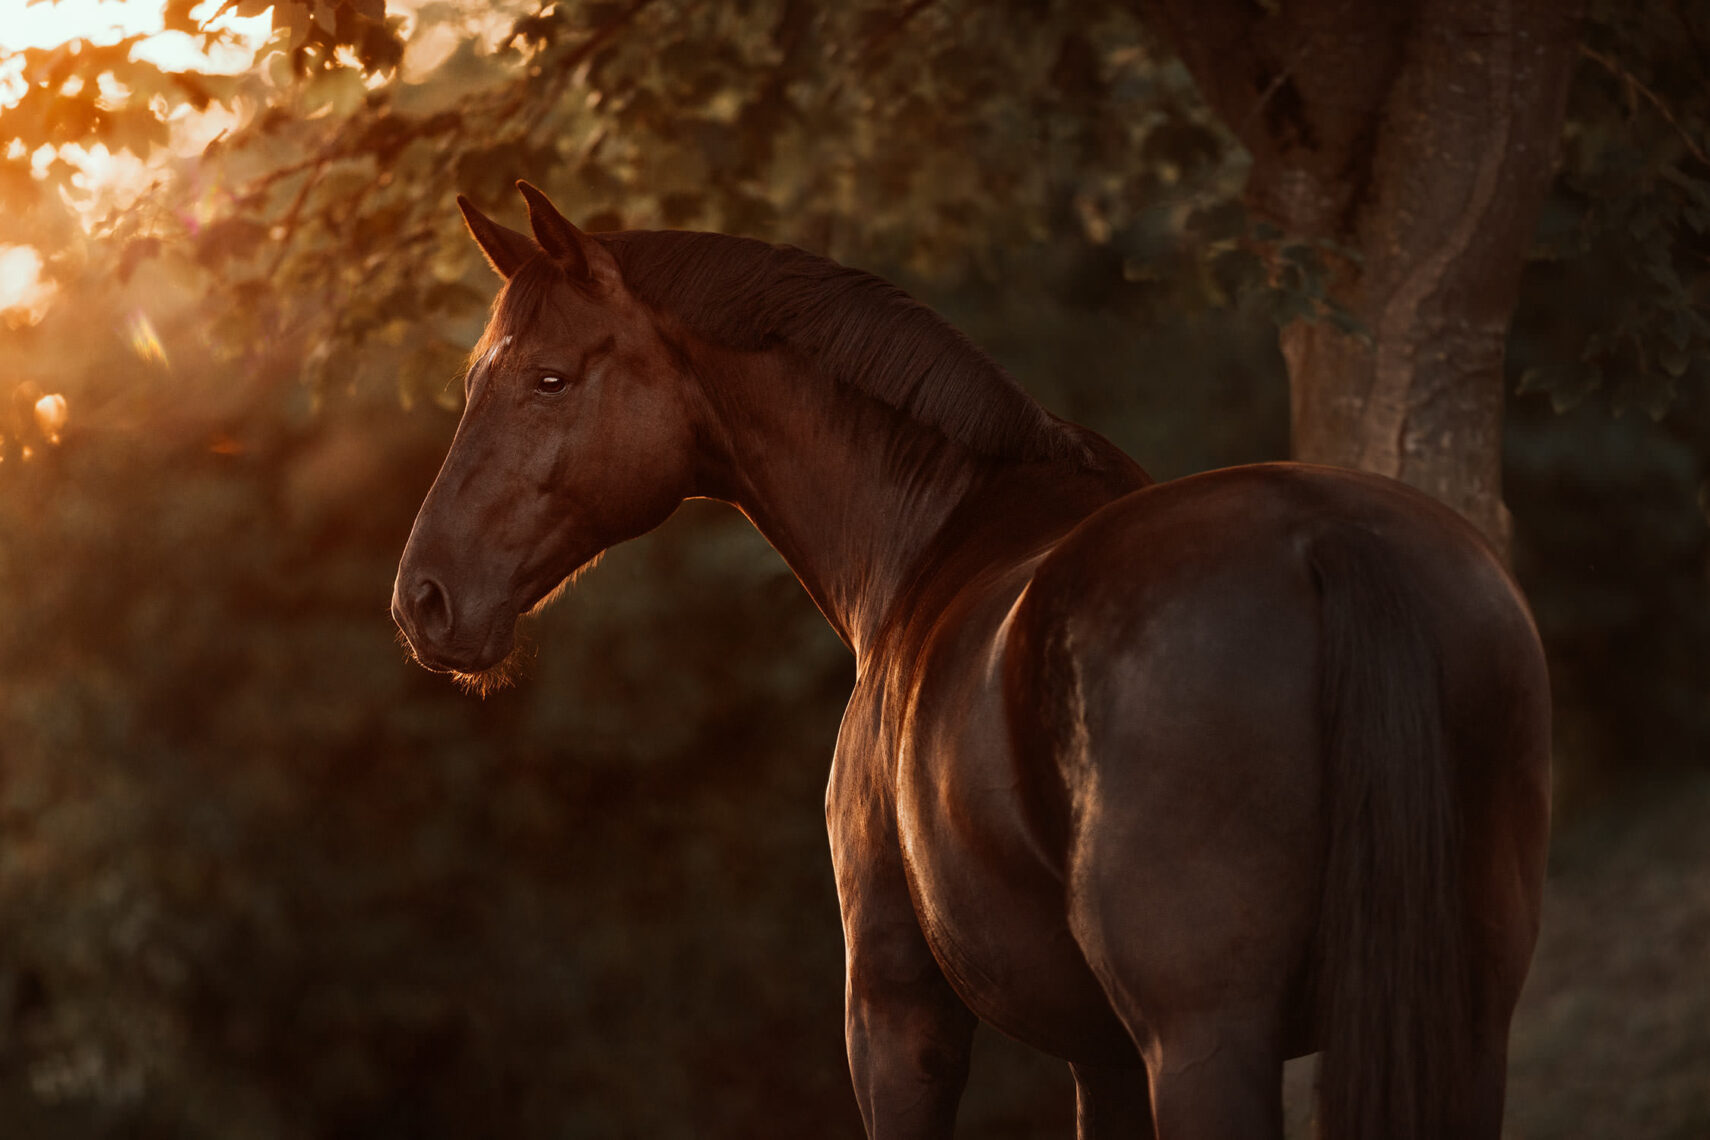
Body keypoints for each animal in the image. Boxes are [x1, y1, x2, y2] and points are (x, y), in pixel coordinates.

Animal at [392, 182, 1551, 1139]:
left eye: (548, 380)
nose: (425, 598)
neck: (934, 535)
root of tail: (1327, 538)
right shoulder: (1102, 1054)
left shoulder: (898, 1013)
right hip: (1463, 1021)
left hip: (1208, 1039)